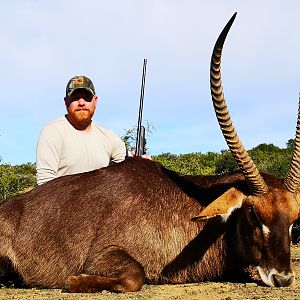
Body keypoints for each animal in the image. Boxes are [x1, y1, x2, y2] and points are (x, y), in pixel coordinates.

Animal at [0, 12, 298, 292]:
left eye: (294, 219)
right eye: (253, 213)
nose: (282, 278)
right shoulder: (105, 253)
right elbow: (136, 276)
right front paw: (74, 281)